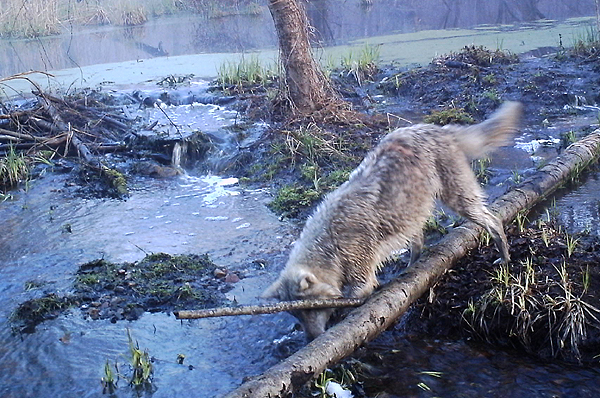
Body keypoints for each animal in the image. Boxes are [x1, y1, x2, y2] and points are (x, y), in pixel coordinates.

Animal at [262, 101, 520, 338]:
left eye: (311, 309)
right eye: (297, 314)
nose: (312, 339)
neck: (329, 242)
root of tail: (437, 128)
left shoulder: (360, 275)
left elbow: (354, 296)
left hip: (459, 200)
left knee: (493, 220)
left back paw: (505, 255)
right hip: (410, 211)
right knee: (418, 241)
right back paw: (411, 266)